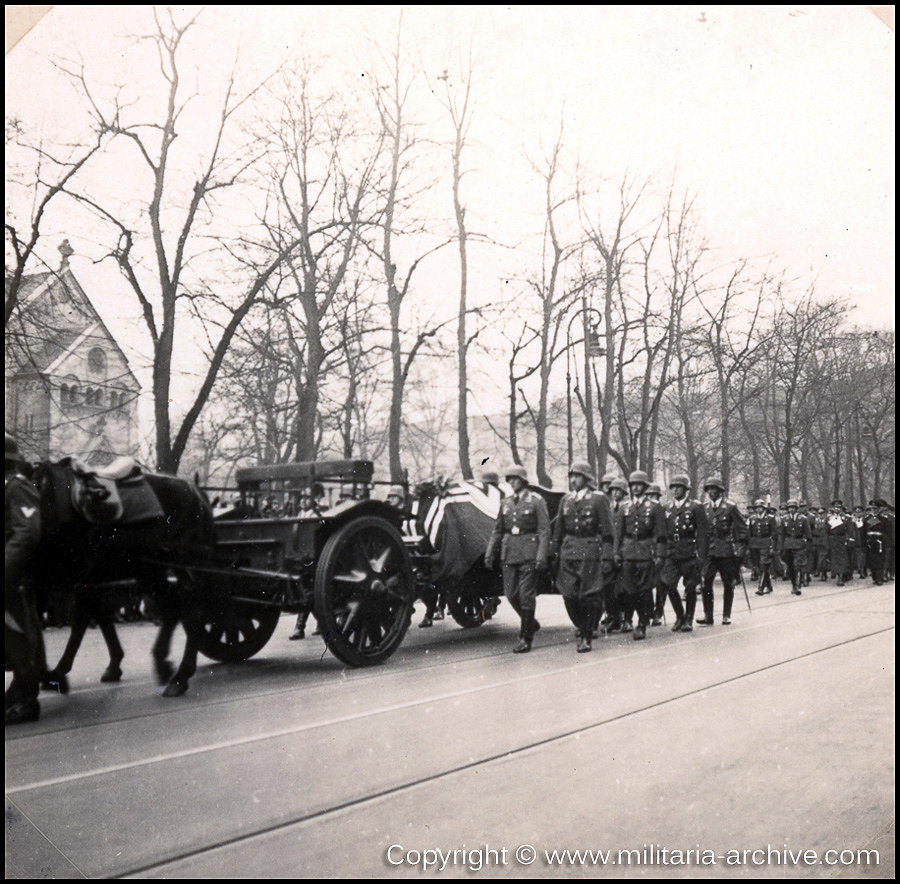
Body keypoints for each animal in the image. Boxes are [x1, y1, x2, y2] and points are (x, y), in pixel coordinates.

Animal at [31, 456, 218, 696]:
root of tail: (196, 491)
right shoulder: (83, 581)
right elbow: (96, 616)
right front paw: (113, 664)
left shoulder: (73, 578)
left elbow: (78, 621)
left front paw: (53, 674)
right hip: (152, 569)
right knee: (177, 605)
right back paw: (168, 666)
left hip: (183, 561)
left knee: (189, 605)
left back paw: (178, 675)